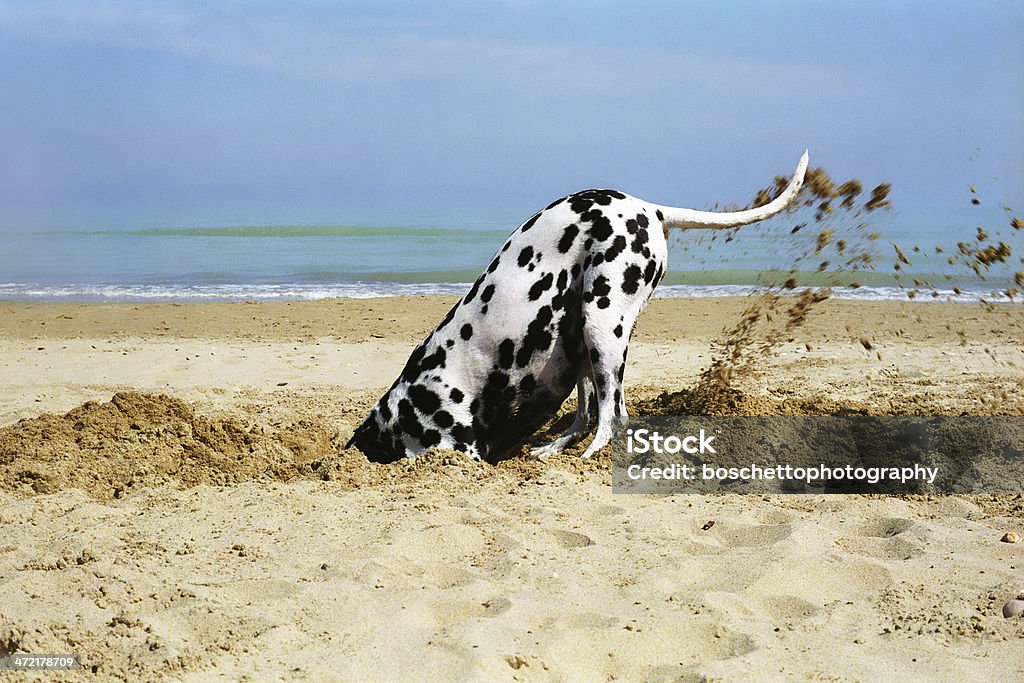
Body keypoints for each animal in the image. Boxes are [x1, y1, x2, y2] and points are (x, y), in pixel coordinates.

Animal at [352, 153, 806, 464]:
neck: (411, 402)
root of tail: (649, 208)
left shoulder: (457, 445)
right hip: (583, 345)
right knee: (591, 416)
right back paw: (553, 449)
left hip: (601, 327)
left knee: (611, 418)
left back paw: (588, 456)